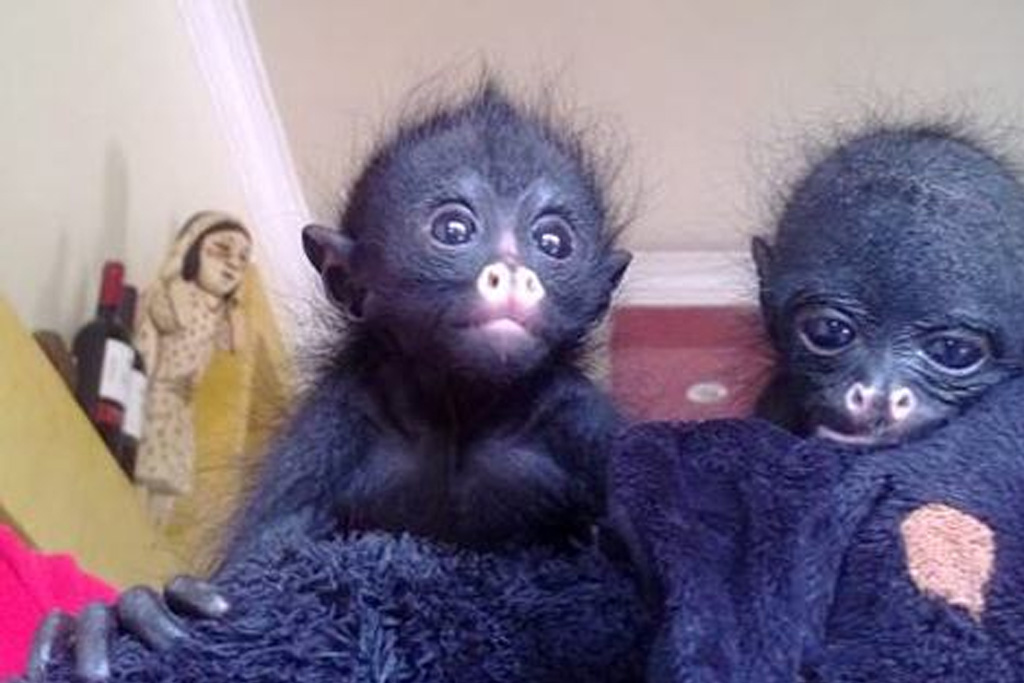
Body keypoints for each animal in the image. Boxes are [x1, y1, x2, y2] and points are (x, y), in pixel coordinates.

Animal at [26, 82, 633, 681]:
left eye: (553, 243)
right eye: (454, 229)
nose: (512, 273)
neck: (461, 410)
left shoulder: (579, 417)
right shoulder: (334, 419)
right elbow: (268, 560)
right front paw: (129, 613)